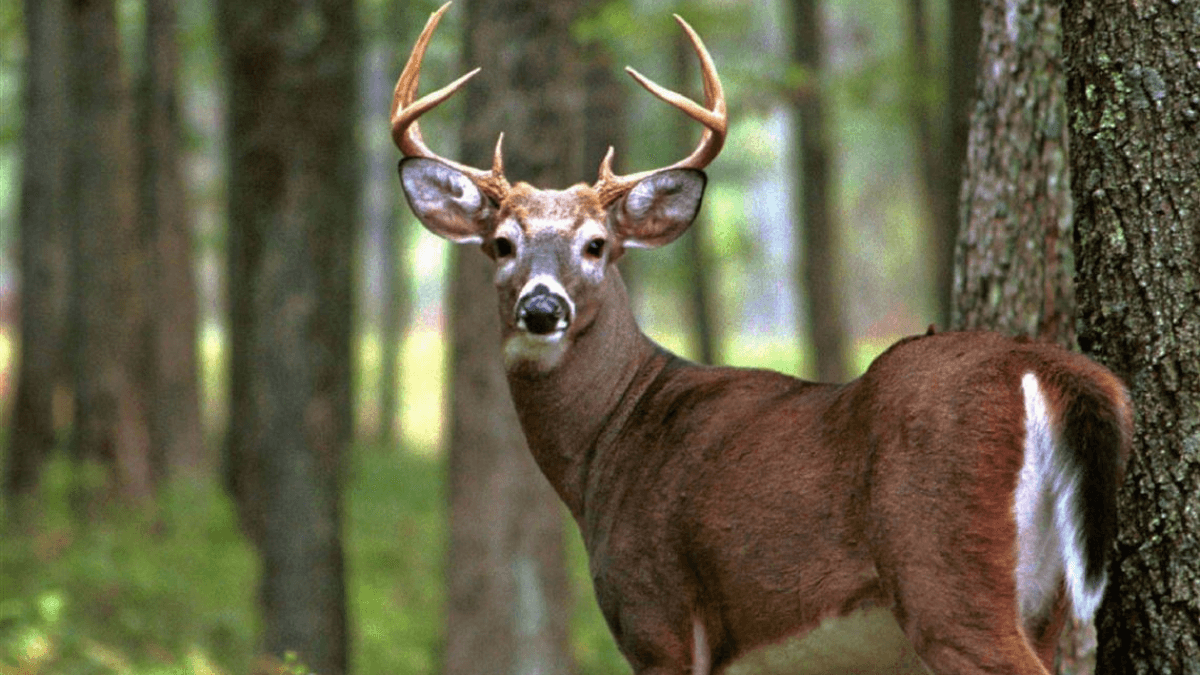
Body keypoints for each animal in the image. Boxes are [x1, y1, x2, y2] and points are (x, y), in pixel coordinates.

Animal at [391, 5, 1133, 674]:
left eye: (596, 244)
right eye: (501, 244)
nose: (542, 307)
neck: (610, 441)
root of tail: (1047, 368)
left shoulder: (655, 615)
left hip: (946, 570)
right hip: (1046, 600)